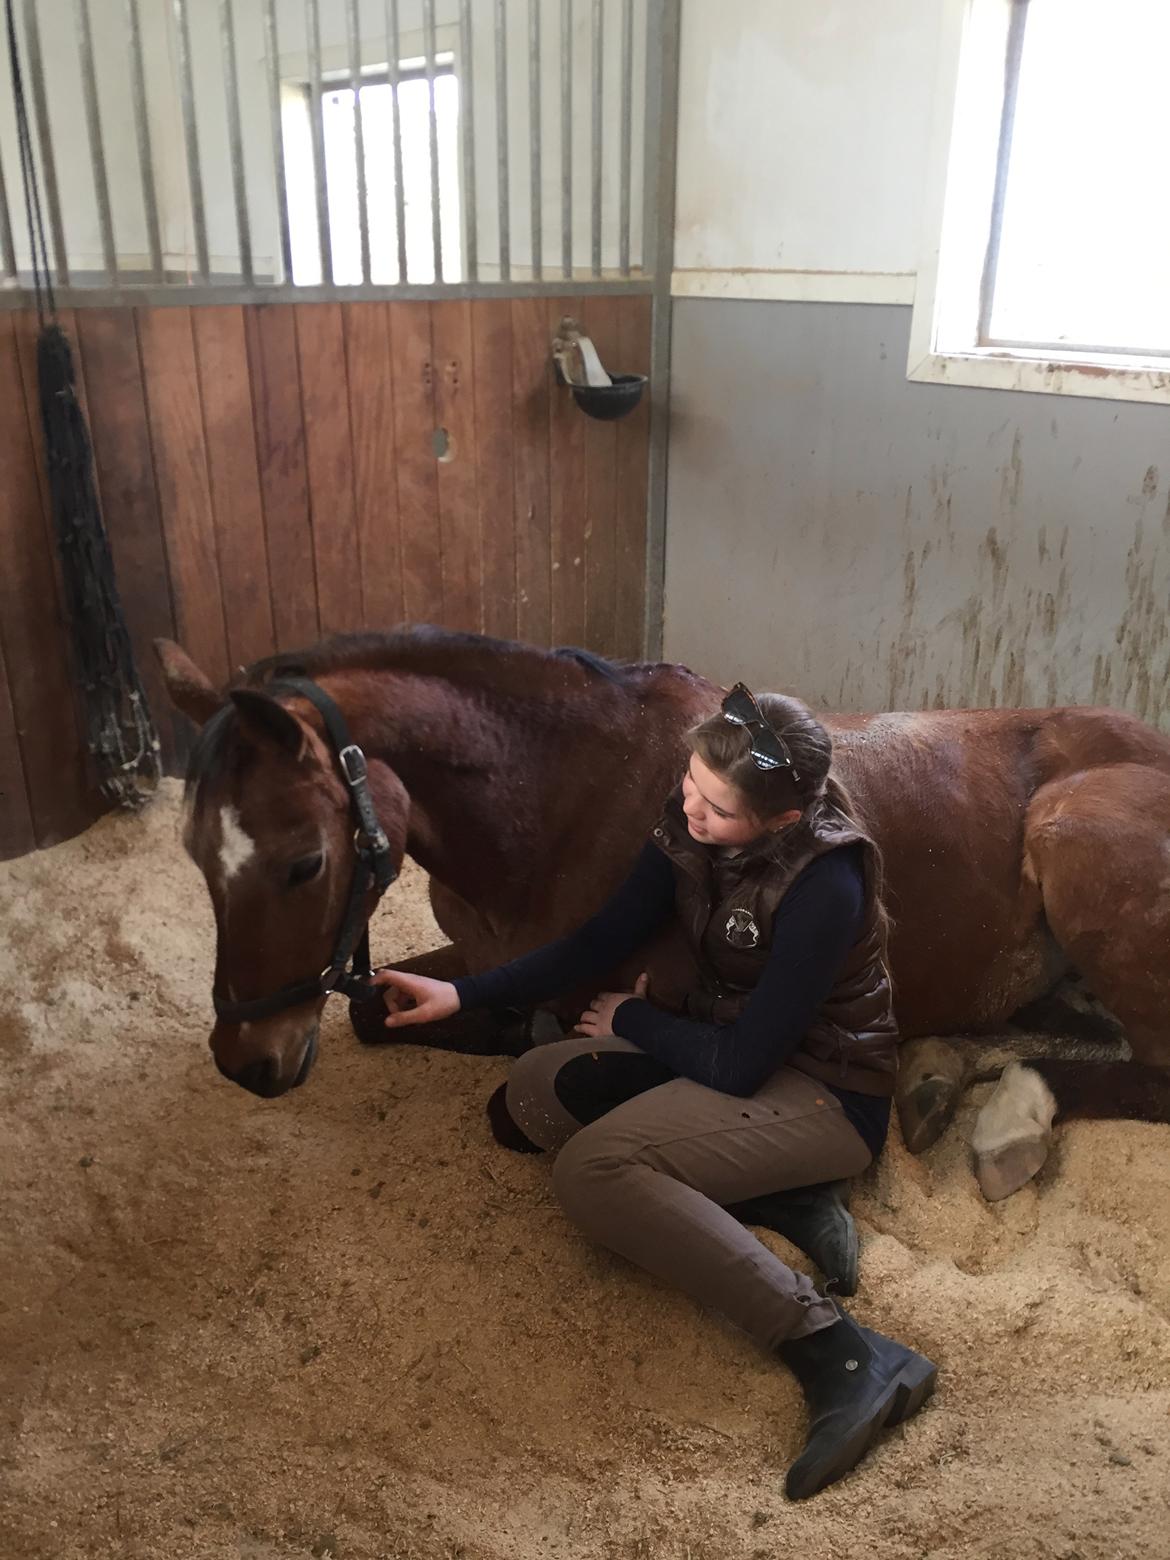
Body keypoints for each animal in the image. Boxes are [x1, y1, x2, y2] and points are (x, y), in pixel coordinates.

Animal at [156, 627, 1170, 1198]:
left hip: (1072, 840)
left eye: (305, 862)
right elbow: (380, 1012)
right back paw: (936, 1077)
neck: (562, 801)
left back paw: (1010, 1125)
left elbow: (521, 1092)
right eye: (193, 852)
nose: (247, 1062)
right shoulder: (486, 953)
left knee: (1148, 1072)